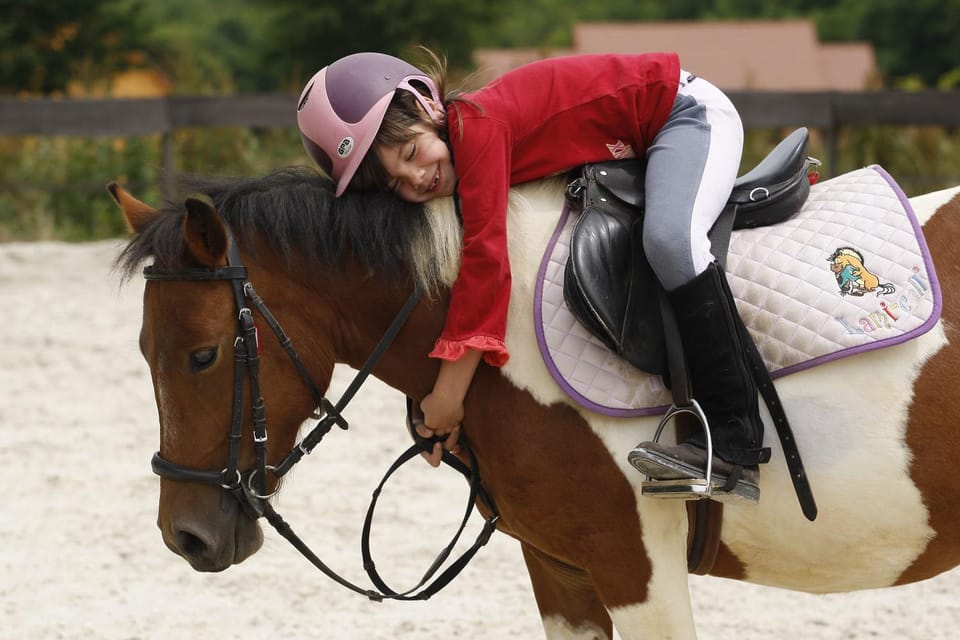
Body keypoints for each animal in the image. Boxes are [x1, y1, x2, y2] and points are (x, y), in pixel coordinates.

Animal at [111, 164, 960, 639]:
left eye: (202, 355)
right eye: (145, 353)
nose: (185, 537)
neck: (486, 328)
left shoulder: (634, 567)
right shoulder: (563, 572)